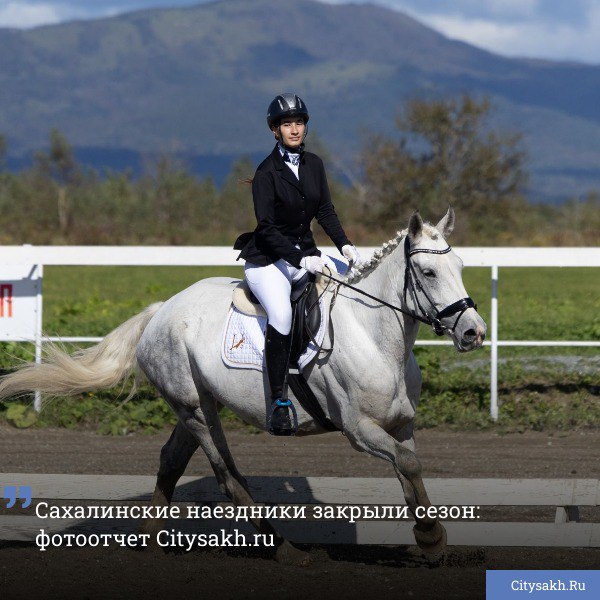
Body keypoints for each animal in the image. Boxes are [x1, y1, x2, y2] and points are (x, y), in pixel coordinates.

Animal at [0, 211, 486, 568]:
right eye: (427, 272)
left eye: (461, 267)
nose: (474, 332)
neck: (375, 336)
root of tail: (161, 311)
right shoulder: (359, 429)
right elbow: (407, 464)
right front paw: (431, 537)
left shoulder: (400, 425)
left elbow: (409, 470)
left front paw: (431, 540)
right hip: (197, 410)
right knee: (226, 476)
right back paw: (285, 550)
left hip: (196, 404)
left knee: (171, 461)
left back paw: (152, 540)